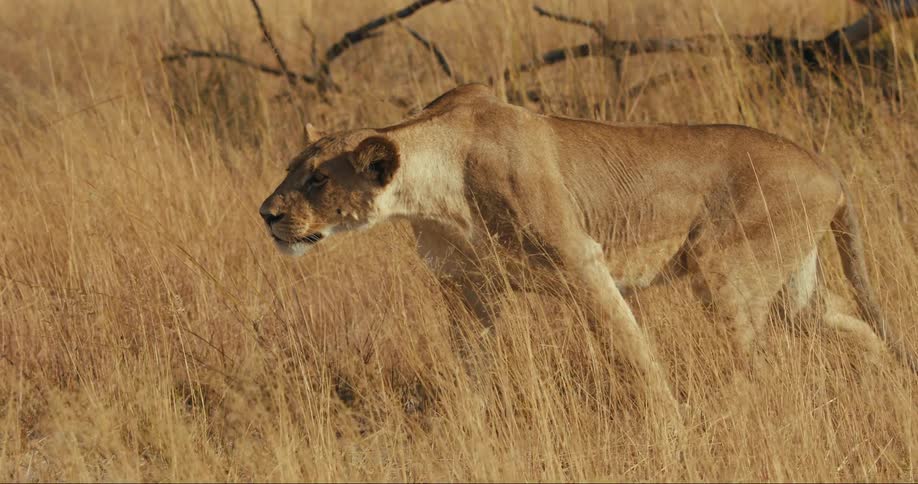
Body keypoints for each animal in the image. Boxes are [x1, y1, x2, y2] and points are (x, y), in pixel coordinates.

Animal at [259, 83, 917, 409]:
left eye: (317, 180)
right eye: (290, 168)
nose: (266, 215)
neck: (431, 188)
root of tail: (827, 166)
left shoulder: (583, 261)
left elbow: (631, 351)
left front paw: (669, 423)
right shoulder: (468, 289)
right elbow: (470, 365)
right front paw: (466, 425)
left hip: (724, 268)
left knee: (757, 364)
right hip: (792, 291)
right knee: (848, 322)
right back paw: (882, 382)